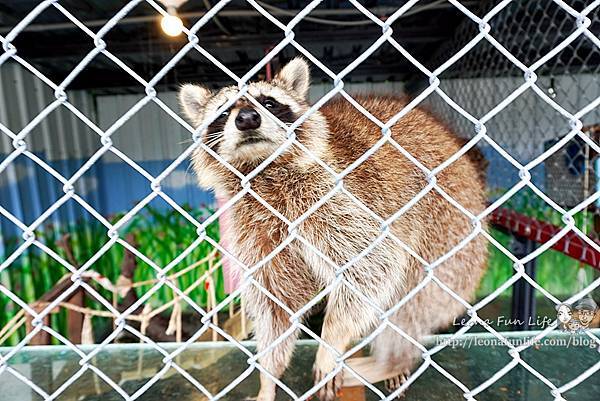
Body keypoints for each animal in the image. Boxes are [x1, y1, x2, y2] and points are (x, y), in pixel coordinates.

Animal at [178, 58, 488, 400]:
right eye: (224, 112)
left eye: (269, 103)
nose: (247, 118)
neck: (262, 169)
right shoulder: (255, 226)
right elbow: (278, 303)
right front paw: (268, 375)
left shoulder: (334, 196)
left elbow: (370, 266)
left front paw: (331, 340)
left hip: (450, 233)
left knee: (413, 299)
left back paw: (390, 362)